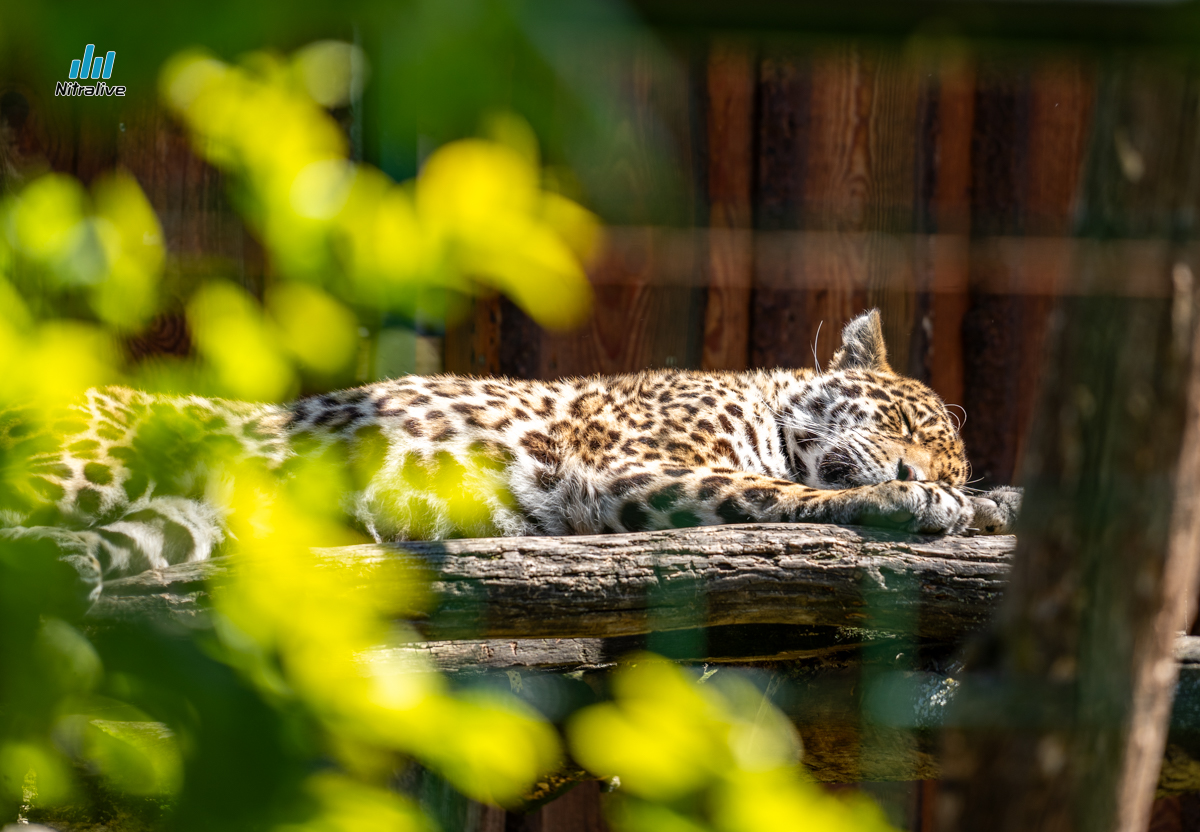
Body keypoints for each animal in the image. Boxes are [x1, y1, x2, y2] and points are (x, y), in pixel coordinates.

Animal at [0, 309, 1022, 597]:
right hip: (93, 459)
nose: (917, 475)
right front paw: (909, 506)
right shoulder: (627, 471)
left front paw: (989, 504)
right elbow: (782, 493)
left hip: (182, 517)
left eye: (943, 455)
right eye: (902, 429)